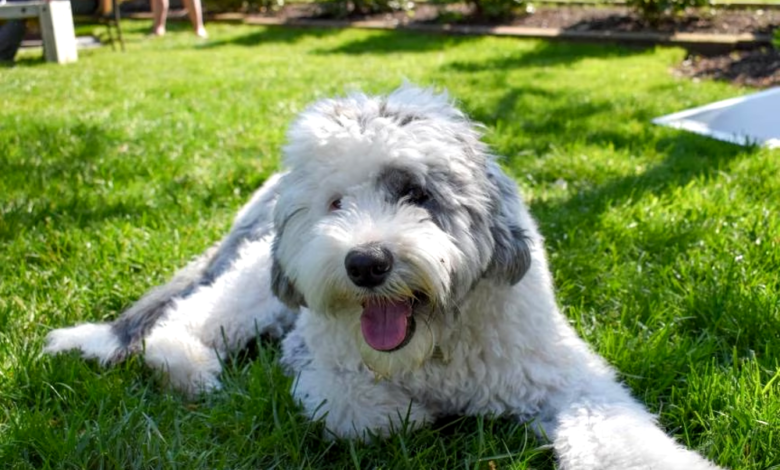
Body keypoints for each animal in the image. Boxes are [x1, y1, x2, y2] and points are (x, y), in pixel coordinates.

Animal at [45, 86, 724, 468]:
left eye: (416, 193)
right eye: (336, 203)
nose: (366, 264)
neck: (435, 347)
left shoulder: (567, 378)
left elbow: (620, 435)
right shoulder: (316, 366)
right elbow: (370, 411)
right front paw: (420, 414)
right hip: (259, 283)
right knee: (189, 318)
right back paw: (187, 367)